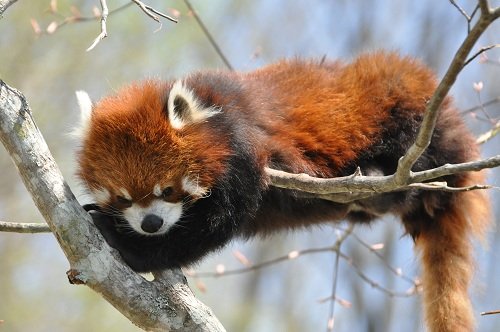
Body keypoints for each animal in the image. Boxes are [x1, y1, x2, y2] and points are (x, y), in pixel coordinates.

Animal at [76, 52, 490, 332]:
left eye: (168, 190)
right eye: (124, 198)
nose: (150, 223)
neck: (215, 111)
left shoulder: (245, 150)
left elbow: (210, 228)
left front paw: (129, 246)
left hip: (407, 108)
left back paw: (383, 180)